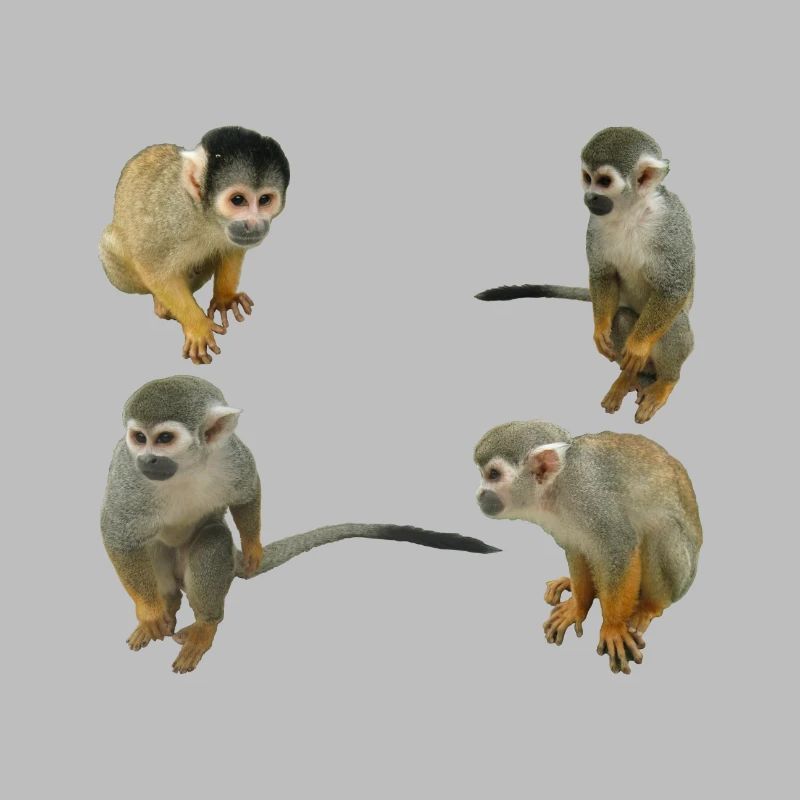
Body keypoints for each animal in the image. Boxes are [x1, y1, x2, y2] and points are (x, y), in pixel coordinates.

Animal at [99, 126, 289, 365]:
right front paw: (197, 326)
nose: (254, 225)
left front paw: (225, 298)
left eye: (264, 200)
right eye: (238, 200)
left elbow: (232, 248)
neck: (206, 215)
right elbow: (151, 266)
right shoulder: (171, 217)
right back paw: (160, 302)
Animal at [101, 376, 499, 673]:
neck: (187, 467)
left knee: (213, 538)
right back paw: (164, 607)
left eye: (165, 438)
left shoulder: (232, 454)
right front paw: (149, 611)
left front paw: (253, 547)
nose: (149, 459)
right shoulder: (128, 472)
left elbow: (248, 491)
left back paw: (206, 624)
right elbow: (116, 533)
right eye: (139, 438)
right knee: (151, 549)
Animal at [474, 420, 702, 674]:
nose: (479, 494)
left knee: (661, 530)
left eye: (493, 475)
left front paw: (613, 628)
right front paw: (578, 606)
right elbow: (576, 549)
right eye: (483, 475)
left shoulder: (588, 497)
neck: (557, 487)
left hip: (682, 573)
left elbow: (617, 546)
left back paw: (649, 606)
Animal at [476, 127, 695, 423]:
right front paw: (600, 328)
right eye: (587, 178)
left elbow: (674, 286)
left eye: (604, 181)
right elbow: (602, 274)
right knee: (621, 317)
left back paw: (665, 381)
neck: (630, 211)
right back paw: (629, 377)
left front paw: (638, 345)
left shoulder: (671, 222)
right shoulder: (594, 224)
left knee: (672, 323)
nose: (589, 197)